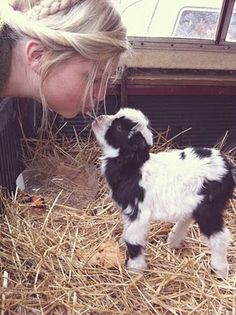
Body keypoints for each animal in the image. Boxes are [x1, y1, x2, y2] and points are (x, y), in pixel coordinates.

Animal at [91, 108, 235, 276]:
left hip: (209, 208)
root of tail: (228, 170)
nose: (98, 118)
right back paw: (173, 240)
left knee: (220, 237)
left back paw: (220, 270)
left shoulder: (138, 211)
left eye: (119, 127)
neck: (133, 167)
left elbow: (133, 238)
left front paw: (135, 269)